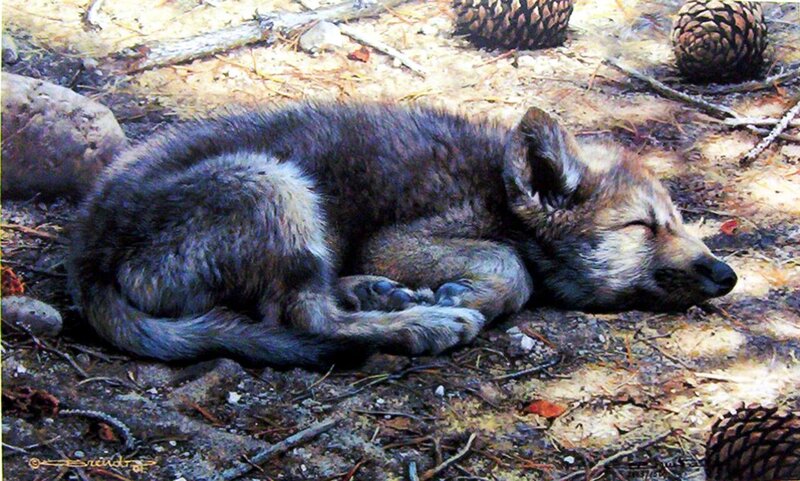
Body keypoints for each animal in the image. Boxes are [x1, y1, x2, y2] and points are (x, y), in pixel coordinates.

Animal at [68, 102, 737, 369]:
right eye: (642, 226)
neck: (498, 192)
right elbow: (512, 267)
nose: (727, 275)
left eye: (679, 222)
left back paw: (380, 296)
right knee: (305, 318)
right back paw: (420, 322)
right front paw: (472, 296)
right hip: (276, 184)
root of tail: (87, 259)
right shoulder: (397, 239)